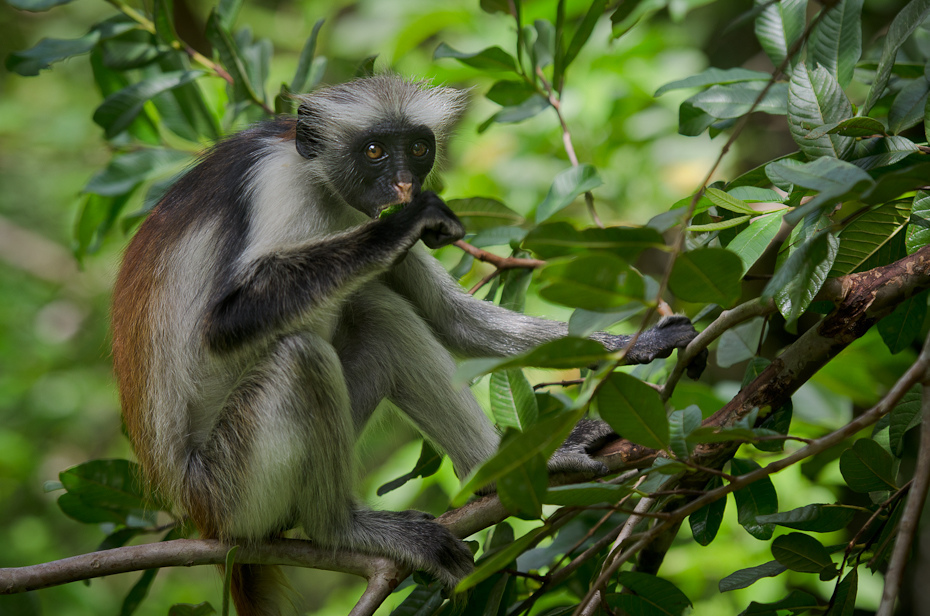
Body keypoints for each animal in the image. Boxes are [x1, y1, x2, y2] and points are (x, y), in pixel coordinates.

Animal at [109, 77, 700, 616]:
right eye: (373, 150)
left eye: (417, 148)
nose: (402, 183)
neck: (320, 180)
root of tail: (195, 511)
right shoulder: (279, 182)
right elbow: (223, 322)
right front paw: (407, 222)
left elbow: (450, 319)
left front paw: (637, 344)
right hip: (229, 488)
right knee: (303, 355)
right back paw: (341, 529)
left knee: (379, 314)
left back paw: (509, 467)